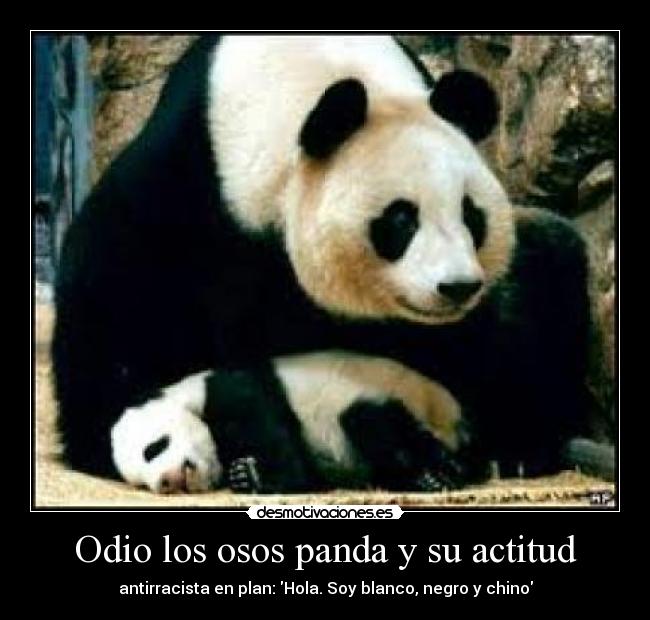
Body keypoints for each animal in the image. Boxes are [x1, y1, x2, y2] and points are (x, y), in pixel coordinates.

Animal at [111, 351, 466, 494]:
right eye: (142, 484)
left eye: (153, 448)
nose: (165, 482)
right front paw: (243, 475)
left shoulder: (230, 391)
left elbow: (273, 439)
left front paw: (257, 478)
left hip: (379, 398)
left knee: (376, 427)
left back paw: (438, 475)